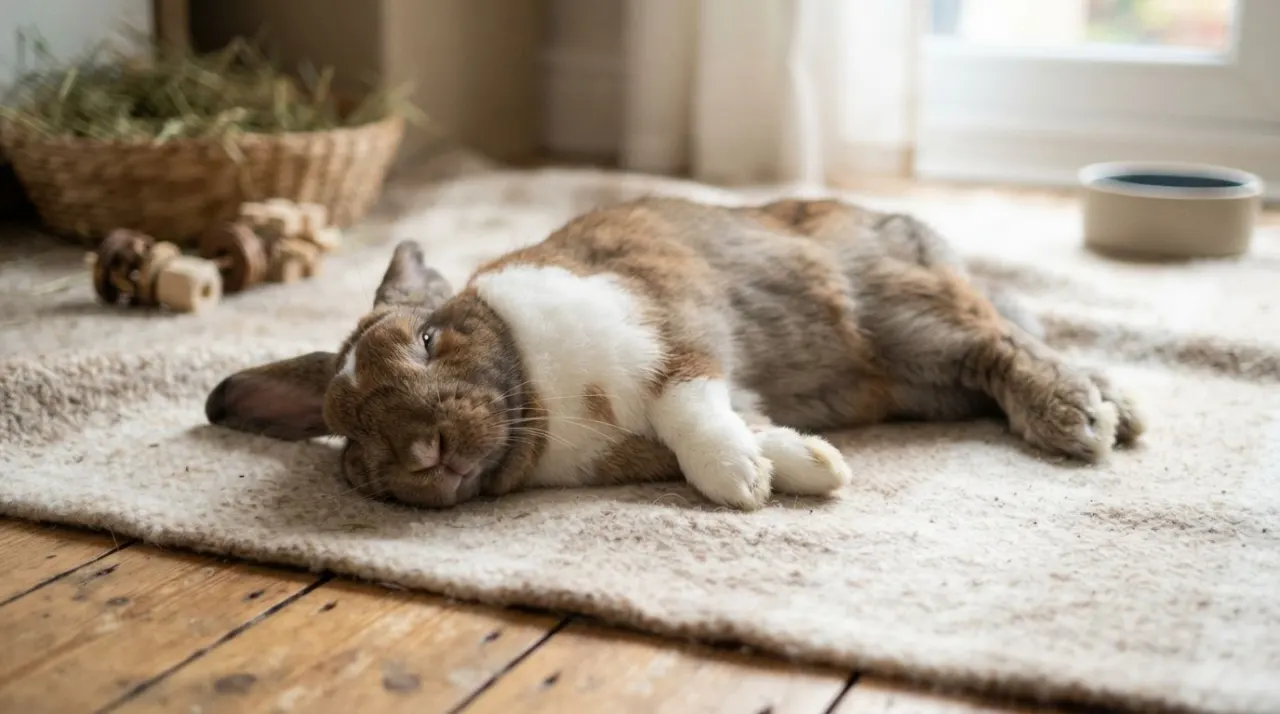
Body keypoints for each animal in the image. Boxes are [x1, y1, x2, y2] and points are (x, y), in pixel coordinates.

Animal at [204, 196, 1145, 510]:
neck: (541, 403)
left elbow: (688, 405)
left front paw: (741, 483)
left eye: (430, 340)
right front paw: (808, 466)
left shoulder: (673, 324)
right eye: (351, 434)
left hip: (908, 319)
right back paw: (1122, 408)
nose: (424, 455)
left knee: (1000, 344)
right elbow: (740, 420)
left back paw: (1080, 417)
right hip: (924, 374)